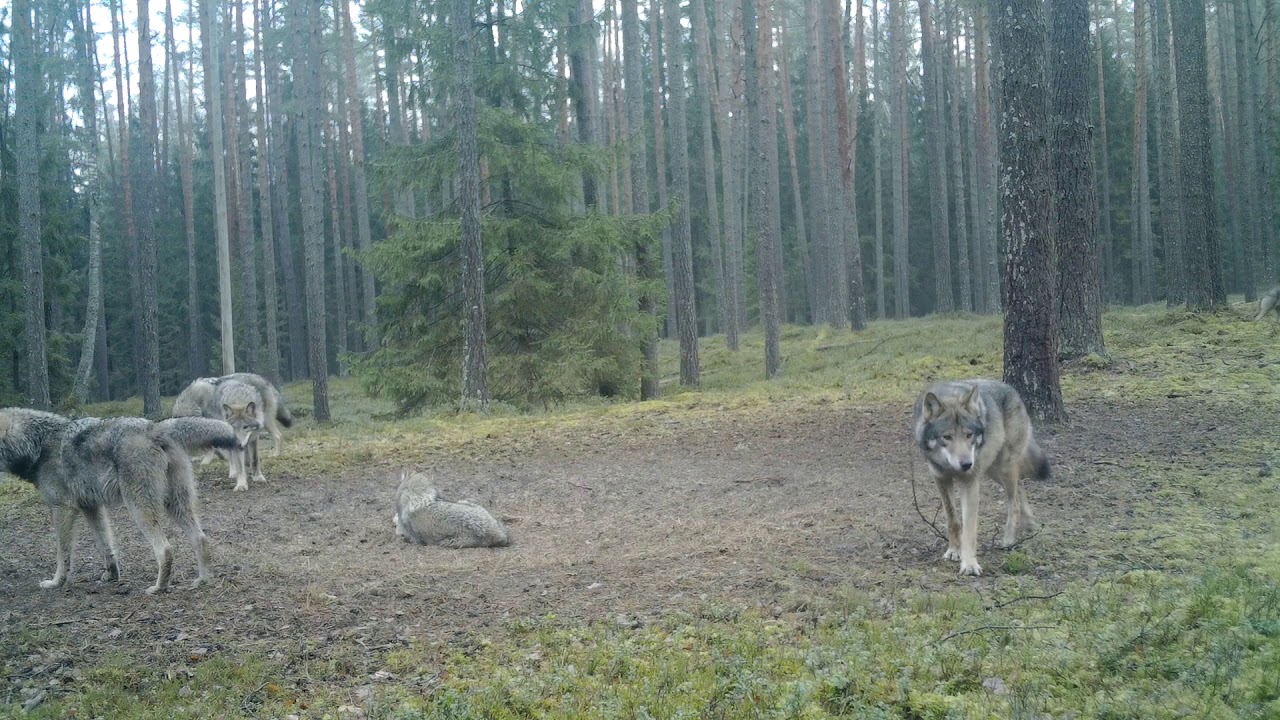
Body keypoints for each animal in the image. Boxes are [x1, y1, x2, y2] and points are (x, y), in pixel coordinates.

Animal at [0, 408, 237, 593]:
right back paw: (202, 580)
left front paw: (56, 582)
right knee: (200, 539)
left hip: (139, 508)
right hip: (176, 506)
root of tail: (154, 427)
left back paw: (158, 588)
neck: (37, 444)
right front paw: (111, 576)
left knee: (165, 549)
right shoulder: (92, 508)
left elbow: (62, 553)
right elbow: (105, 545)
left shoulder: (62, 509)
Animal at [912, 379, 1050, 576]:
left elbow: (969, 528)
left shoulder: (970, 481)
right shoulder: (941, 479)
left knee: (1014, 502)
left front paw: (969, 564)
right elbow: (953, 520)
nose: (966, 464)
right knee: (1020, 489)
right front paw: (954, 551)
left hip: (1003, 468)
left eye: (969, 435)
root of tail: (1012, 389)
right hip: (994, 471)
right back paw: (1030, 523)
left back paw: (1008, 540)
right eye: (947, 437)